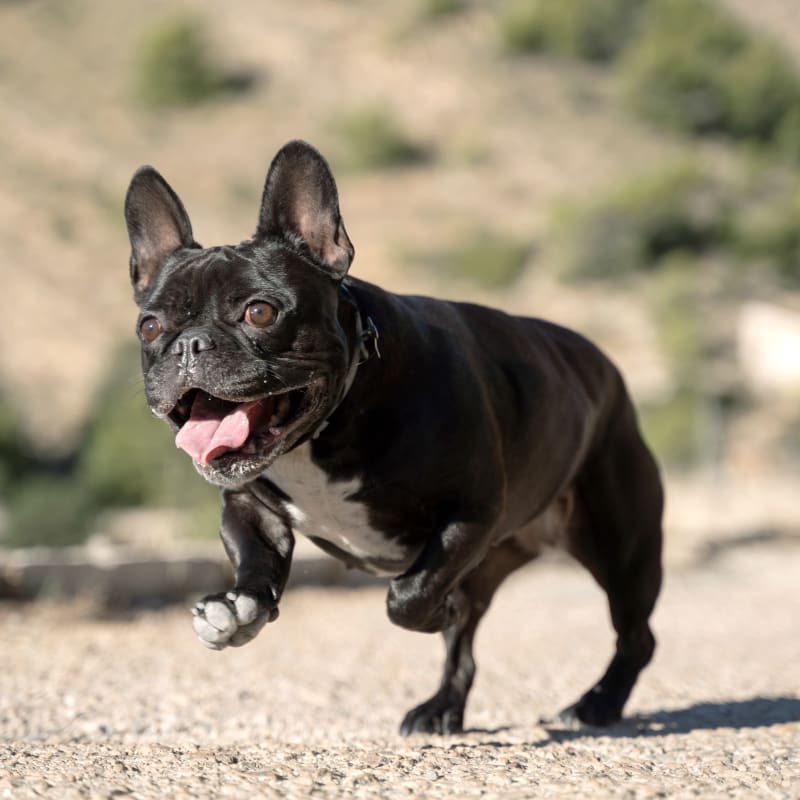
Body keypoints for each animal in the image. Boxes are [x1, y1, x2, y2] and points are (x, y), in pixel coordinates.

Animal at [123, 141, 664, 736]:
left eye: (259, 312)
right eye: (150, 328)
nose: (189, 344)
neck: (324, 432)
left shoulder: (467, 513)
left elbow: (407, 597)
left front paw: (431, 609)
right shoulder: (247, 506)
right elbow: (256, 559)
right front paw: (239, 610)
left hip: (621, 545)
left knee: (634, 634)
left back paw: (598, 703)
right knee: (464, 649)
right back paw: (442, 708)